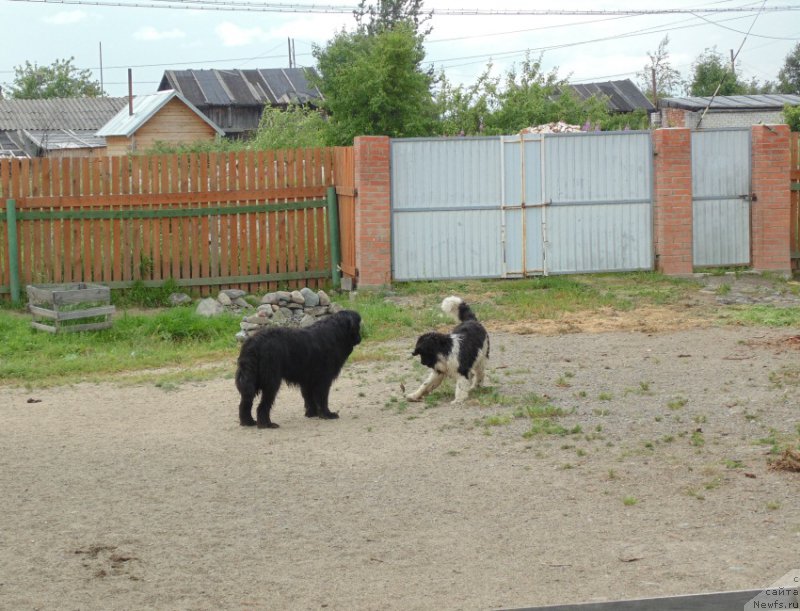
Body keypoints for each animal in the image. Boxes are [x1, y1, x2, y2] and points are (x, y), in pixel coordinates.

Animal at [234, 308, 362, 428]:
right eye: (359, 324)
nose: (360, 338)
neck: (336, 333)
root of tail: (253, 342)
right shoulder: (323, 379)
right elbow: (322, 398)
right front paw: (327, 414)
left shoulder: (307, 380)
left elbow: (309, 398)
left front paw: (312, 414)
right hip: (271, 382)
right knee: (262, 406)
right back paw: (267, 424)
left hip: (251, 379)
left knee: (245, 403)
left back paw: (249, 422)